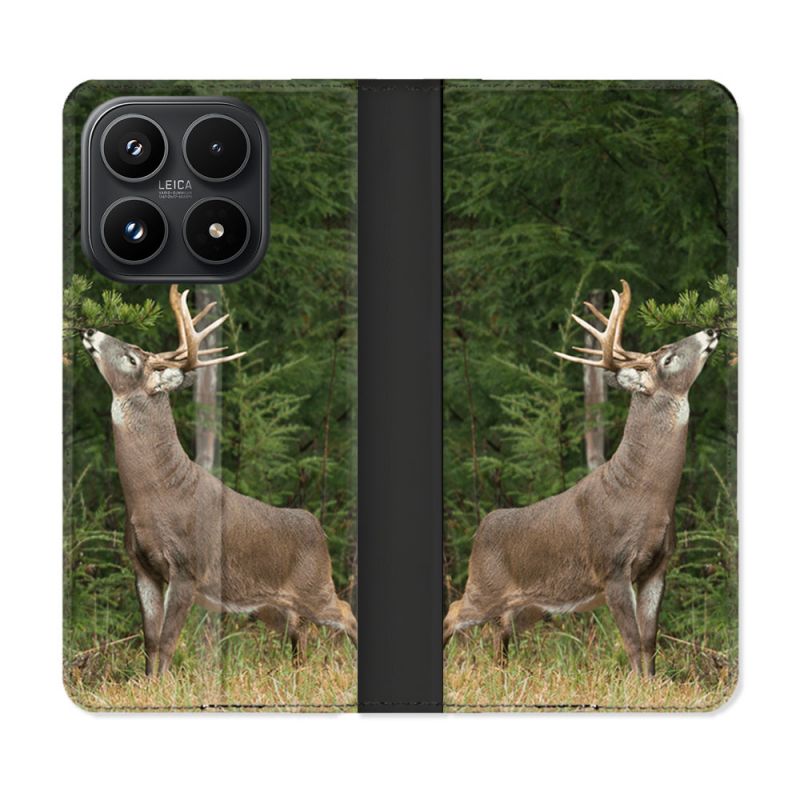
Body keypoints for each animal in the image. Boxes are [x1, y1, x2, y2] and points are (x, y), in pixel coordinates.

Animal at [82, 285, 357, 676]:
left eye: (132, 358)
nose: (90, 330)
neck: (155, 493)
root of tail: (318, 527)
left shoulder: (187, 566)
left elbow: (167, 641)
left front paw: (162, 686)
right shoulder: (141, 565)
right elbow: (149, 641)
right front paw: (148, 683)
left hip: (315, 585)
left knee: (345, 612)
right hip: (268, 603)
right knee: (299, 629)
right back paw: (296, 672)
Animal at [443, 280, 719, 676]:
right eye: (667, 358)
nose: (710, 330)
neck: (645, 494)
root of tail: (482, 528)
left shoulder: (658, 565)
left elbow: (650, 641)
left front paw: (652, 683)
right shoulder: (612, 566)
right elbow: (632, 641)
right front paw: (637, 685)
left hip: (530, 604)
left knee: (501, 629)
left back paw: (503, 672)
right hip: (484, 585)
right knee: (453, 612)